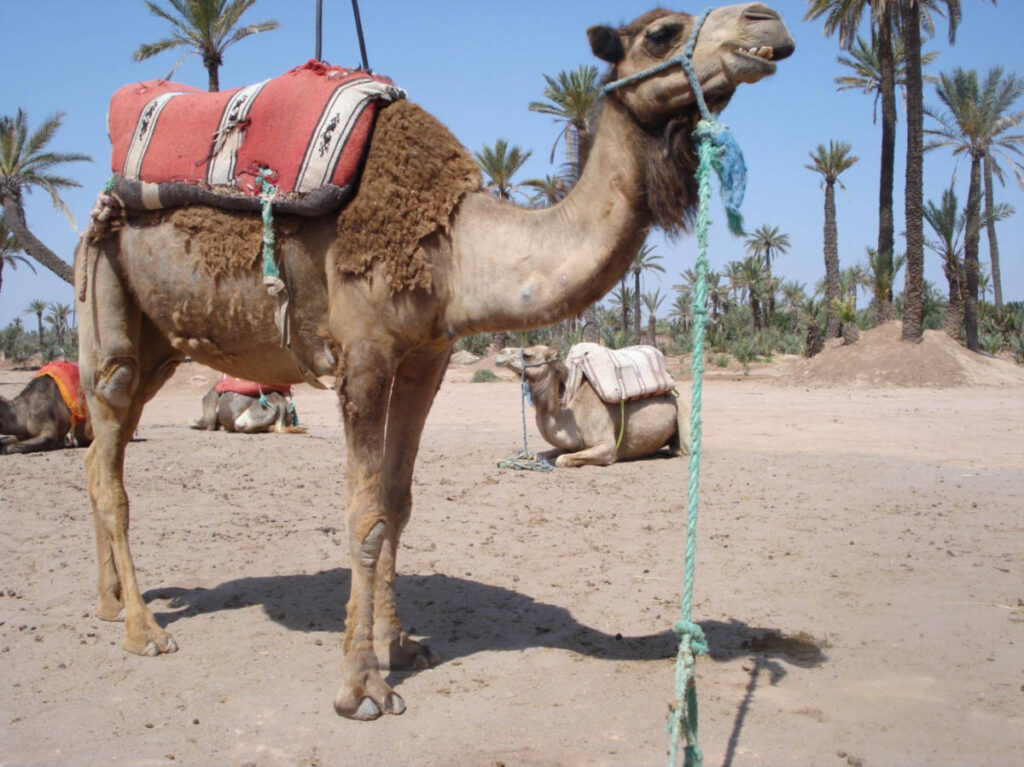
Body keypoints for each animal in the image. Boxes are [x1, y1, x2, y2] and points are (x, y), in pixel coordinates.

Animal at [495, 345, 688, 467]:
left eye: (528, 354)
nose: (500, 353)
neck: (575, 420)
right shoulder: (573, 444)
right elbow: (540, 454)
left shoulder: (607, 448)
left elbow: (561, 460)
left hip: (682, 411)